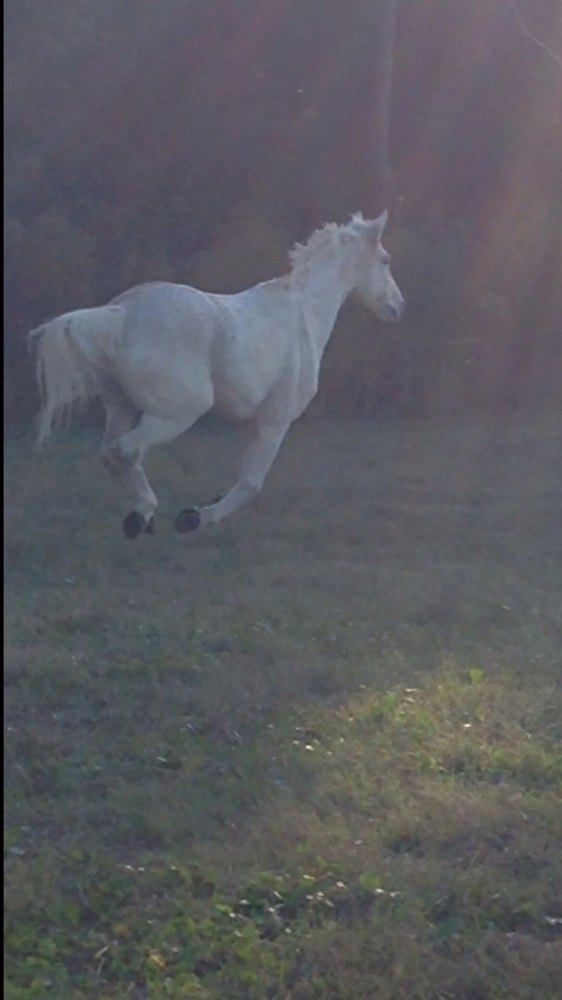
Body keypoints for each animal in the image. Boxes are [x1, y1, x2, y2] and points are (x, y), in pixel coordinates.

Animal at [30, 210, 405, 539]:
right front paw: (193, 517)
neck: (303, 315)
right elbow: (251, 484)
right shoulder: (275, 420)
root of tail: (122, 314)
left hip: (122, 407)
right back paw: (144, 513)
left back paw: (141, 517)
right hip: (179, 413)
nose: (398, 306)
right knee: (124, 451)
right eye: (385, 259)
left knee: (111, 452)